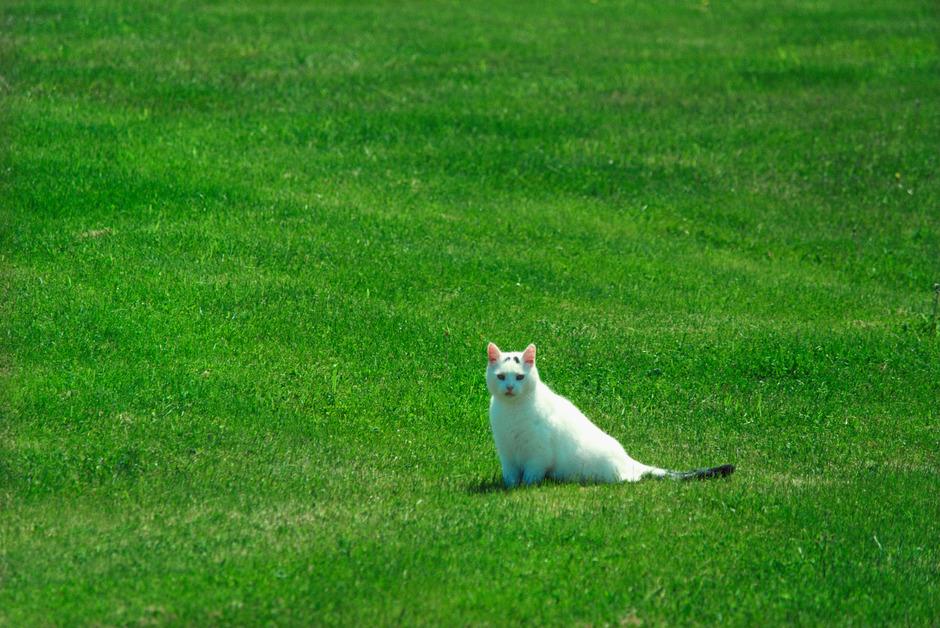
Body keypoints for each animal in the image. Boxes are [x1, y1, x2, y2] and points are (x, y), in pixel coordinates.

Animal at [484, 344, 736, 486]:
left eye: (519, 377)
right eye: (501, 377)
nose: (509, 388)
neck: (512, 410)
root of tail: (628, 459)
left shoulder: (538, 453)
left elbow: (531, 475)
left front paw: (525, 488)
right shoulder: (507, 453)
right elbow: (510, 476)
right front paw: (509, 487)